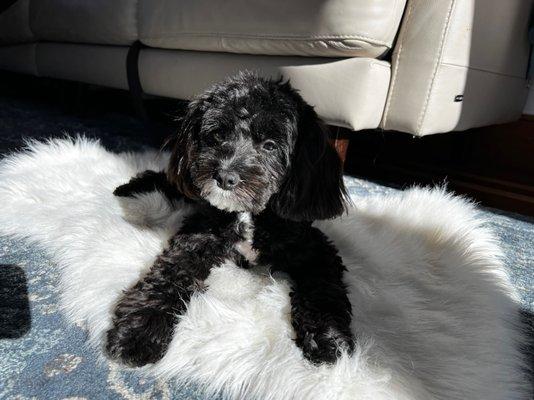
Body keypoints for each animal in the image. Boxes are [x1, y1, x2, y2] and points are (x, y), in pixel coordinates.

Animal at [104, 73, 356, 368]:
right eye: (217, 135)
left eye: (270, 145)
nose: (224, 177)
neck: (248, 214)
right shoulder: (197, 237)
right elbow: (168, 273)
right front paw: (139, 330)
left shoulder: (316, 251)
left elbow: (324, 291)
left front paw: (330, 339)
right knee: (165, 179)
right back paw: (129, 188)